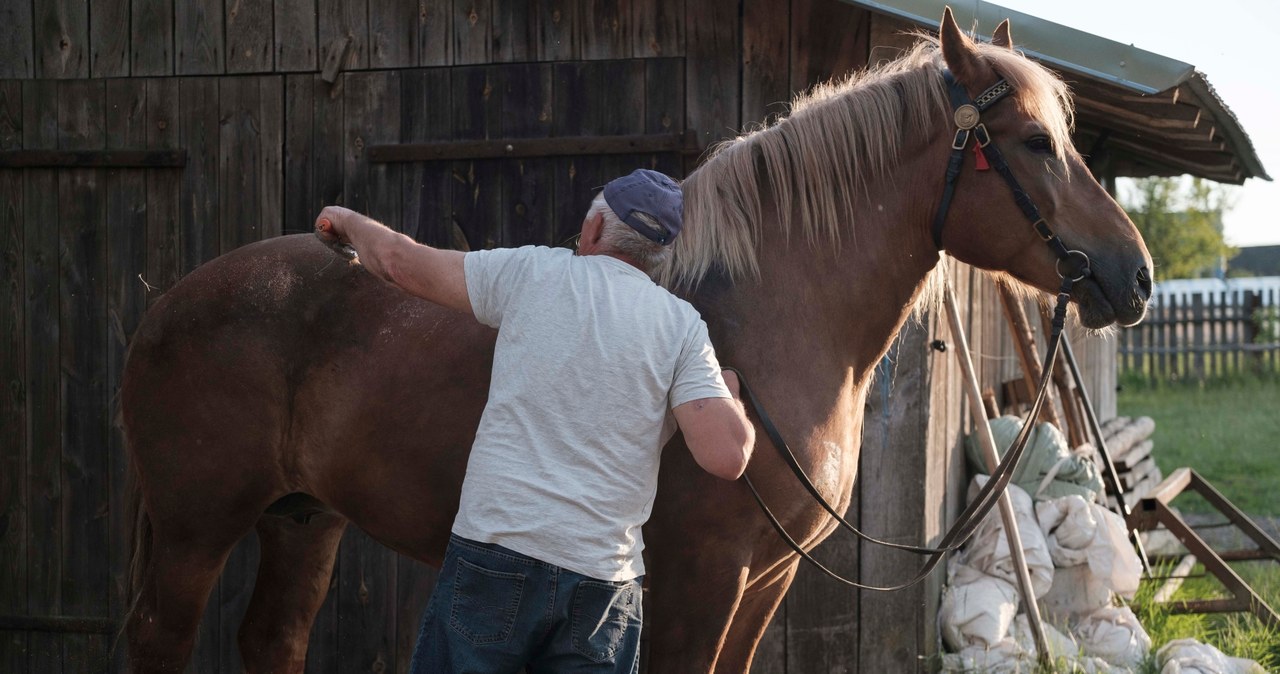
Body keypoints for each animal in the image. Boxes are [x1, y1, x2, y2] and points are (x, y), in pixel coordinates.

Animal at [122, 11, 1152, 674]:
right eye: (1031, 142)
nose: (1135, 276)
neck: (762, 329)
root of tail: (172, 299)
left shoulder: (767, 578)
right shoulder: (702, 576)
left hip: (302, 521)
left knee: (272, 642)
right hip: (195, 528)